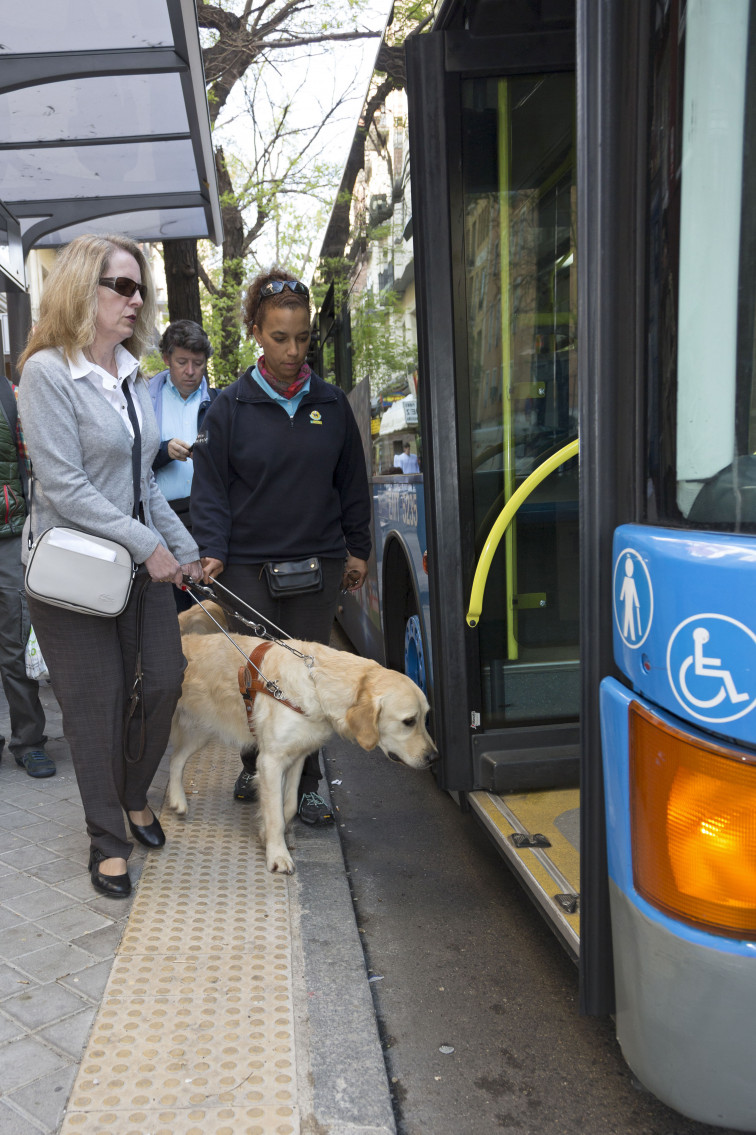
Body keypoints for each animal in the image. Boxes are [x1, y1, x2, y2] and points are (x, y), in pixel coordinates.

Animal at [166, 635, 435, 871]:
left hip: (203, 729)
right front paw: (278, 855)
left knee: (176, 760)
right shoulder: (270, 761)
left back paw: (177, 799)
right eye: (409, 721)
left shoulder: (296, 757)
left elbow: (288, 806)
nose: (434, 757)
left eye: (425, 718)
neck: (317, 687)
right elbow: (275, 814)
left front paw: (265, 833)